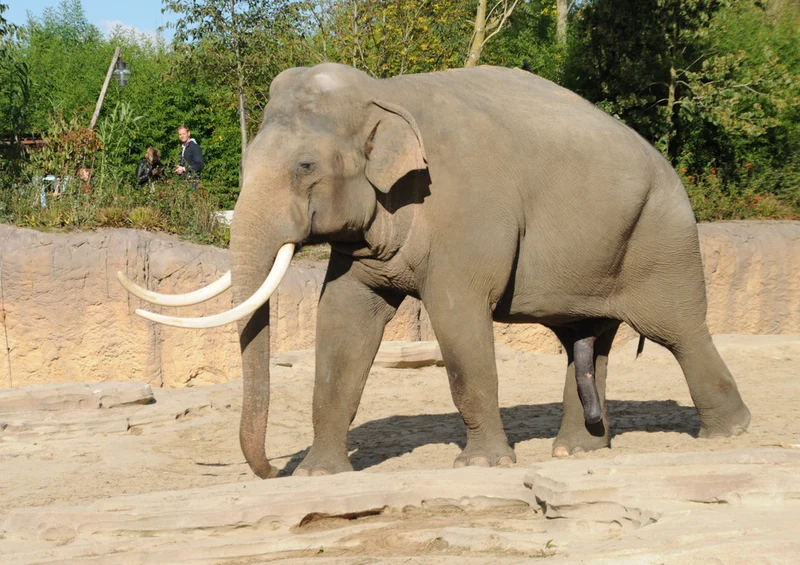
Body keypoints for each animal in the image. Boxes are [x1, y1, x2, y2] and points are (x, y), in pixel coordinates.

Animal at [119, 63, 751, 479]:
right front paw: (320, 476)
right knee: (589, 341)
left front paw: (481, 465)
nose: (273, 469)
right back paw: (577, 452)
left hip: (661, 238)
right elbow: (342, 319)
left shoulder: (465, 215)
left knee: (679, 331)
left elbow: (458, 320)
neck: (385, 94)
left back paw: (729, 433)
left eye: (305, 166)